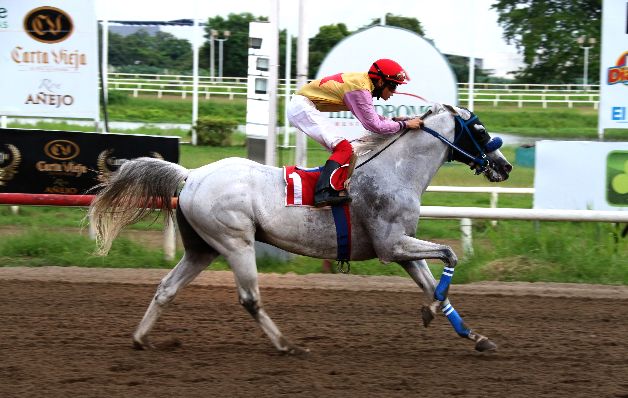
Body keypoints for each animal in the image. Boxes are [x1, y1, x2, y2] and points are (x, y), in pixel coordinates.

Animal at [87, 103, 510, 354]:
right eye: (480, 129)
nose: (504, 166)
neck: (396, 171)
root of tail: (191, 175)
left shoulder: (403, 247)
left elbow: (434, 282)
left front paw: (475, 336)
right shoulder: (392, 246)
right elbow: (450, 254)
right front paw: (431, 311)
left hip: (201, 248)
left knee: (167, 288)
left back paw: (141, 338)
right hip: (235, 241)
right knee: (250, 298)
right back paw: (286, 344)